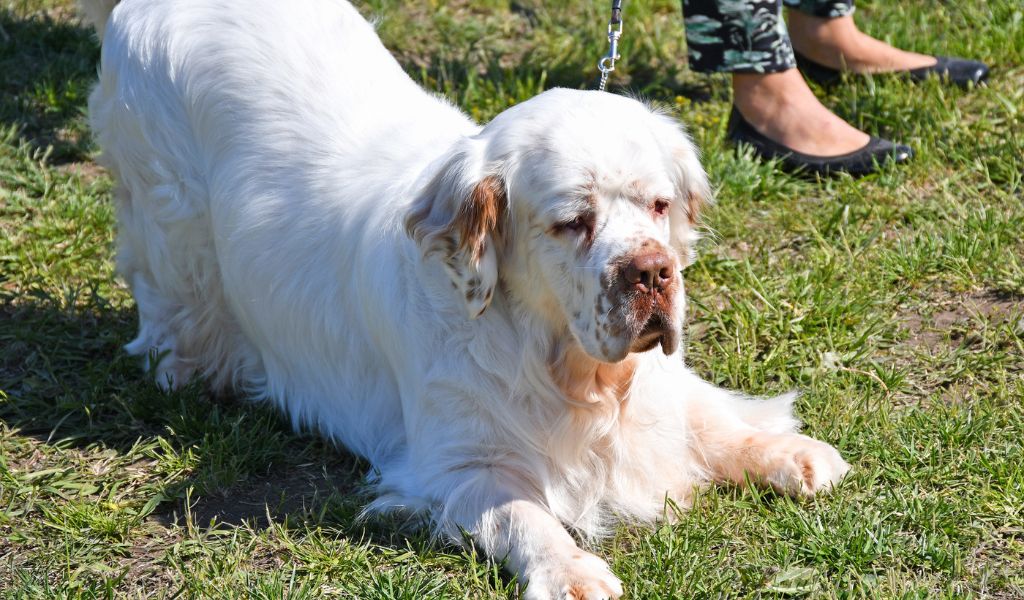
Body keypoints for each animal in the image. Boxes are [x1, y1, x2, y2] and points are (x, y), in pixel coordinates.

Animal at [83, 2, 847, 593]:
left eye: (660, 206)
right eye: (573, 222)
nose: (653, 272)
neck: (564, 366)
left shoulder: (656, 383)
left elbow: (711, 419)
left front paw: (791, 455)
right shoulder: (456, 462)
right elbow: (526, 515)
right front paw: (572, 573)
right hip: (171, 217)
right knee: (168, 295)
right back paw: (186, 369)